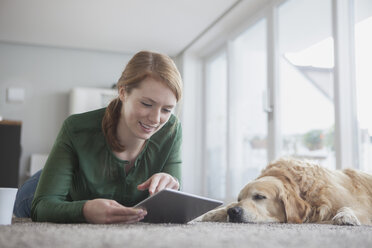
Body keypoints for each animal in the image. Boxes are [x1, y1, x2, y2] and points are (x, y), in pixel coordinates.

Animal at [202, 158, 372, 226]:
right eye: (239, 199)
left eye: (259, 197)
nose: (233, 212)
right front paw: (212, 213)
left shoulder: (361, 204)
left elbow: (348, 207)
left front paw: (346, 216)